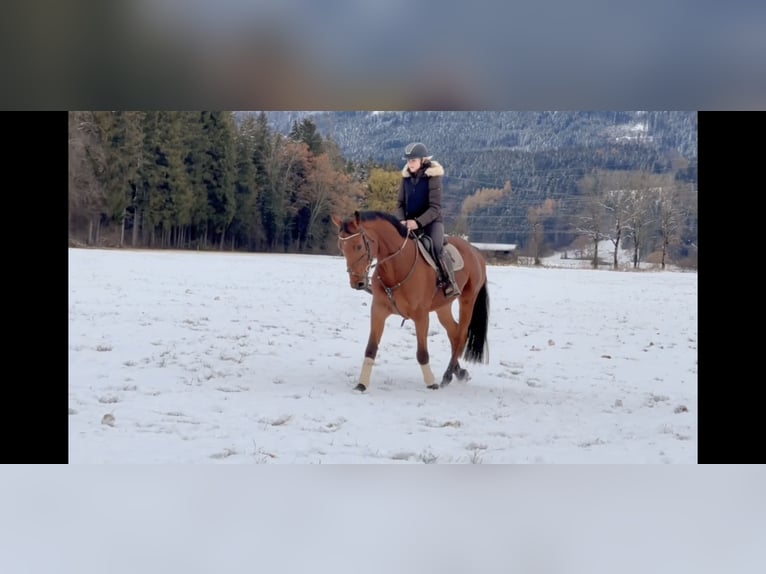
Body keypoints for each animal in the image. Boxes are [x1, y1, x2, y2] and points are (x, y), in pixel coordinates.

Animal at [332, 209, 492, 394]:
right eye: (341, 247)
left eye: (358, 246)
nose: (356, 283)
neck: (397, 266)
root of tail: (475, 251)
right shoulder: (378, 311)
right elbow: (371, 348)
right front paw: (361, 384)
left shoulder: (421, 316)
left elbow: (422, 353)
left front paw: (431, 383)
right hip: (443, 307)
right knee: (454, 332)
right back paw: (459, 372)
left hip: (467, 300)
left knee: (461, 334)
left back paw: (447, 375)